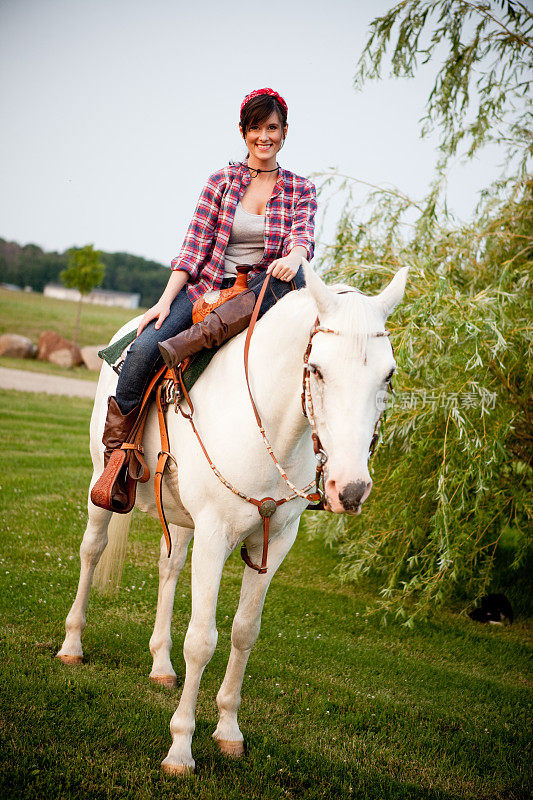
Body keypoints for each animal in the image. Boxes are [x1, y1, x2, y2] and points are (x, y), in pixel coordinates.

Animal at [56, 264, 406, 776]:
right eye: (317, 369)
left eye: (388, 374)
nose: (351, 488)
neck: (272, 428)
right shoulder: (215, 535)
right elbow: (202, 640)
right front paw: (181, 748)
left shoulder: (274, 540)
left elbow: (244, 633)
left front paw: (228, 730)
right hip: (100, 487)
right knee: (91, 551)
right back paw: (72, 646)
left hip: (183, 520)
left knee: (169, 568)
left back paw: (160, 666)